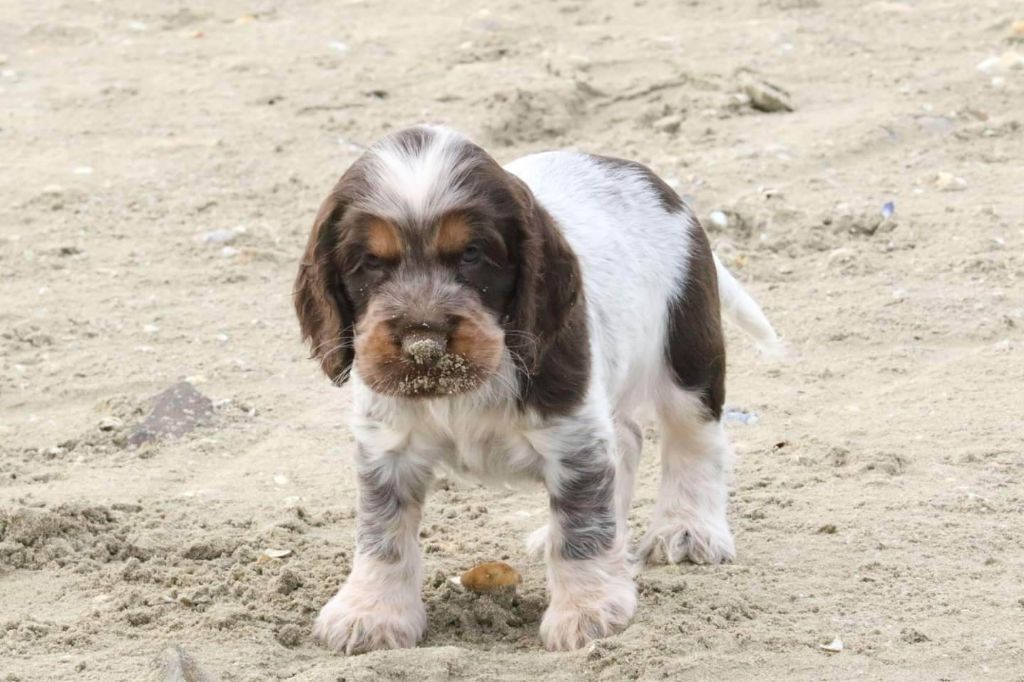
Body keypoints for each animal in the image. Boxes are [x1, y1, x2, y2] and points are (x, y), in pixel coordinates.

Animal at [294, 123, 774, 655]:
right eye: (370, 263)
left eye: (472, 255)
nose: (424, 344)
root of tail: (662, 190)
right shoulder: (387, 447)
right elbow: (383, 535)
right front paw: (371, 613)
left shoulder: (573, 437)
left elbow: (581, 530)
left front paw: (587, 612)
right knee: (627, 442)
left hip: (686, 354)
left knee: (695, 442)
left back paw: (688, 530)